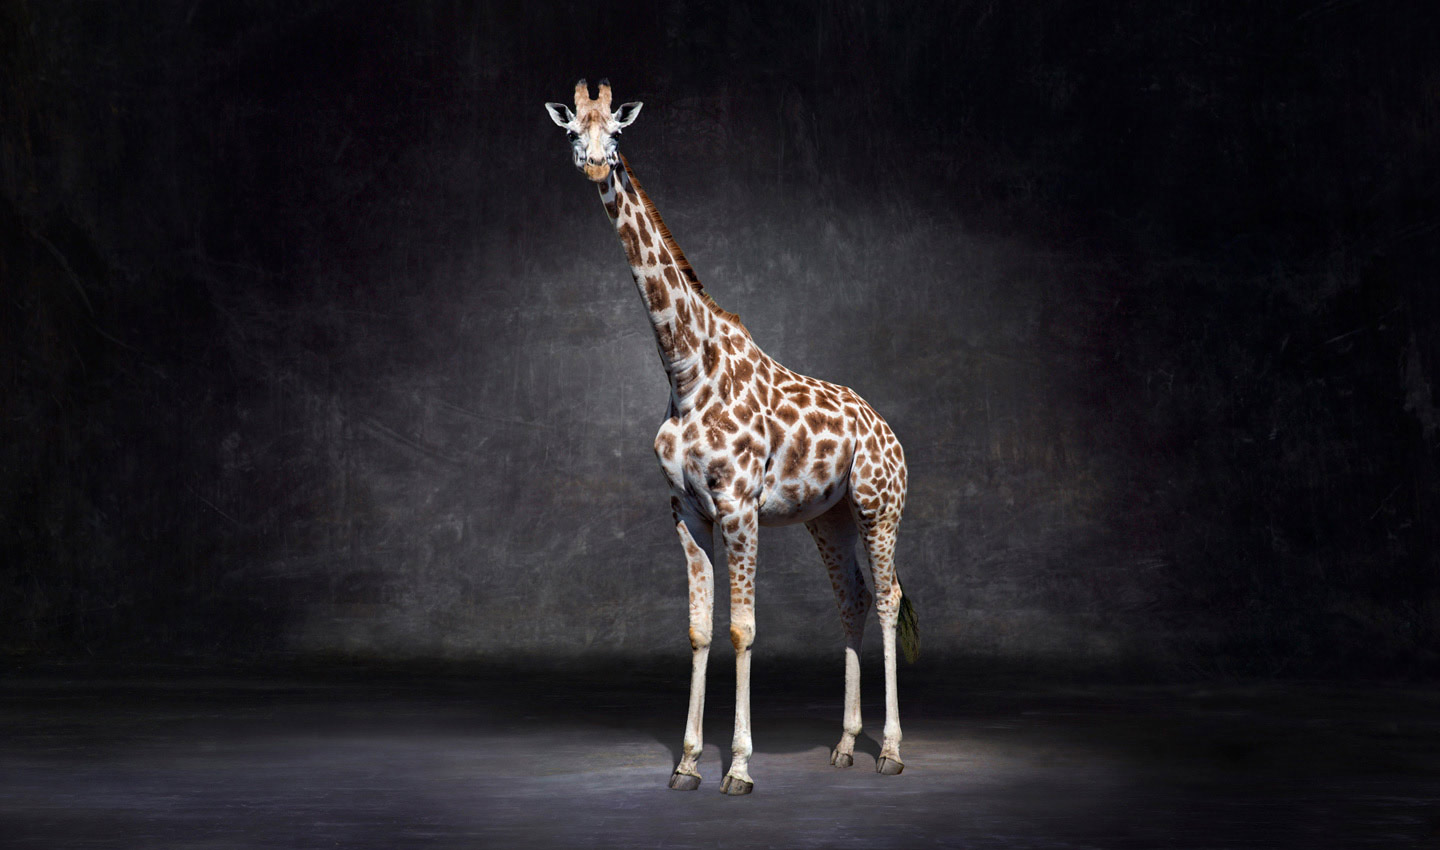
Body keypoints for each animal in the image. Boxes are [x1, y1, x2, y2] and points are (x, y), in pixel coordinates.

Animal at [545, 80, 918, 795]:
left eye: (617, 132)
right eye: (574, 130)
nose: (597, 166)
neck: (687, 367)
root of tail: (888, 430)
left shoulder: (739, 506)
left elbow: (742, 629)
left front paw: (739, 767)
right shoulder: (686, 508)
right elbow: (698, 630)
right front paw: (688, 763)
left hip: (879, 507)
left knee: (887, 599)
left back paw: (890, 750)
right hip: (827, 518)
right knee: (852, 598)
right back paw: (845, 745)